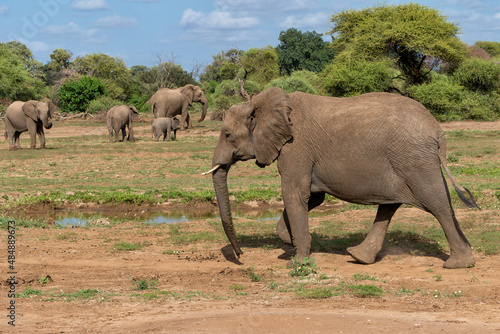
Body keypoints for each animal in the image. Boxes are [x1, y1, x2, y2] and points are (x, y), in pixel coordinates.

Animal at [208, 87, 480, 268]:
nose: (241, 256)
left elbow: (295, 193)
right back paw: (359, 256)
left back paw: (457, 264)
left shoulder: (296, 148)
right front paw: (290, 241)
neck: (262, 104)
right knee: (390, 206)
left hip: (414, 160)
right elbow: (312, 197)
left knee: (437, 204)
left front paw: (297, 261)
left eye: (228, 135)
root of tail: (437, 130)